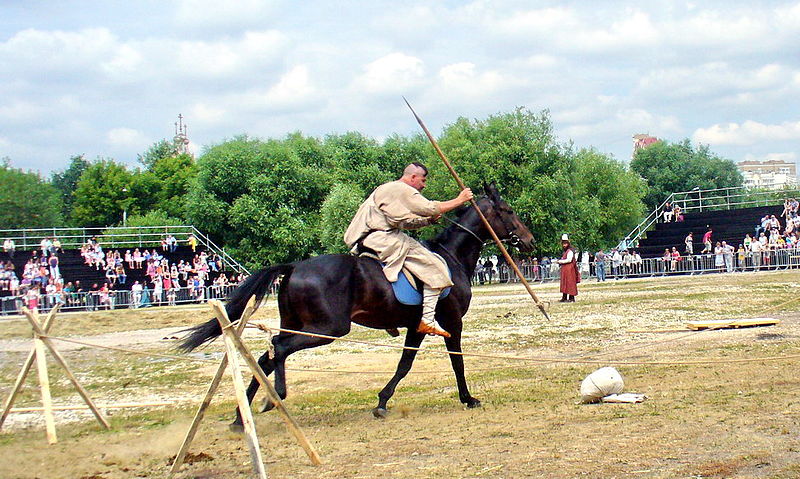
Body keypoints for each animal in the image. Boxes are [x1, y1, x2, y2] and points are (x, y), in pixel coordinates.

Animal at [178, 184, 536, 428]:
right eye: (508, 211)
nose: (529, 240)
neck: (451, 257)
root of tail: (294, 267)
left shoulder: (415, 327)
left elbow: (404, 364)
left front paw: (382, 402)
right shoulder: (451, 323)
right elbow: (456, 361)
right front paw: (468, 398)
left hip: (300, 323)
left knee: (266, 356)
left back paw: (242, 417)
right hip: (327, 329)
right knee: (278, 347)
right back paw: (274, 396)